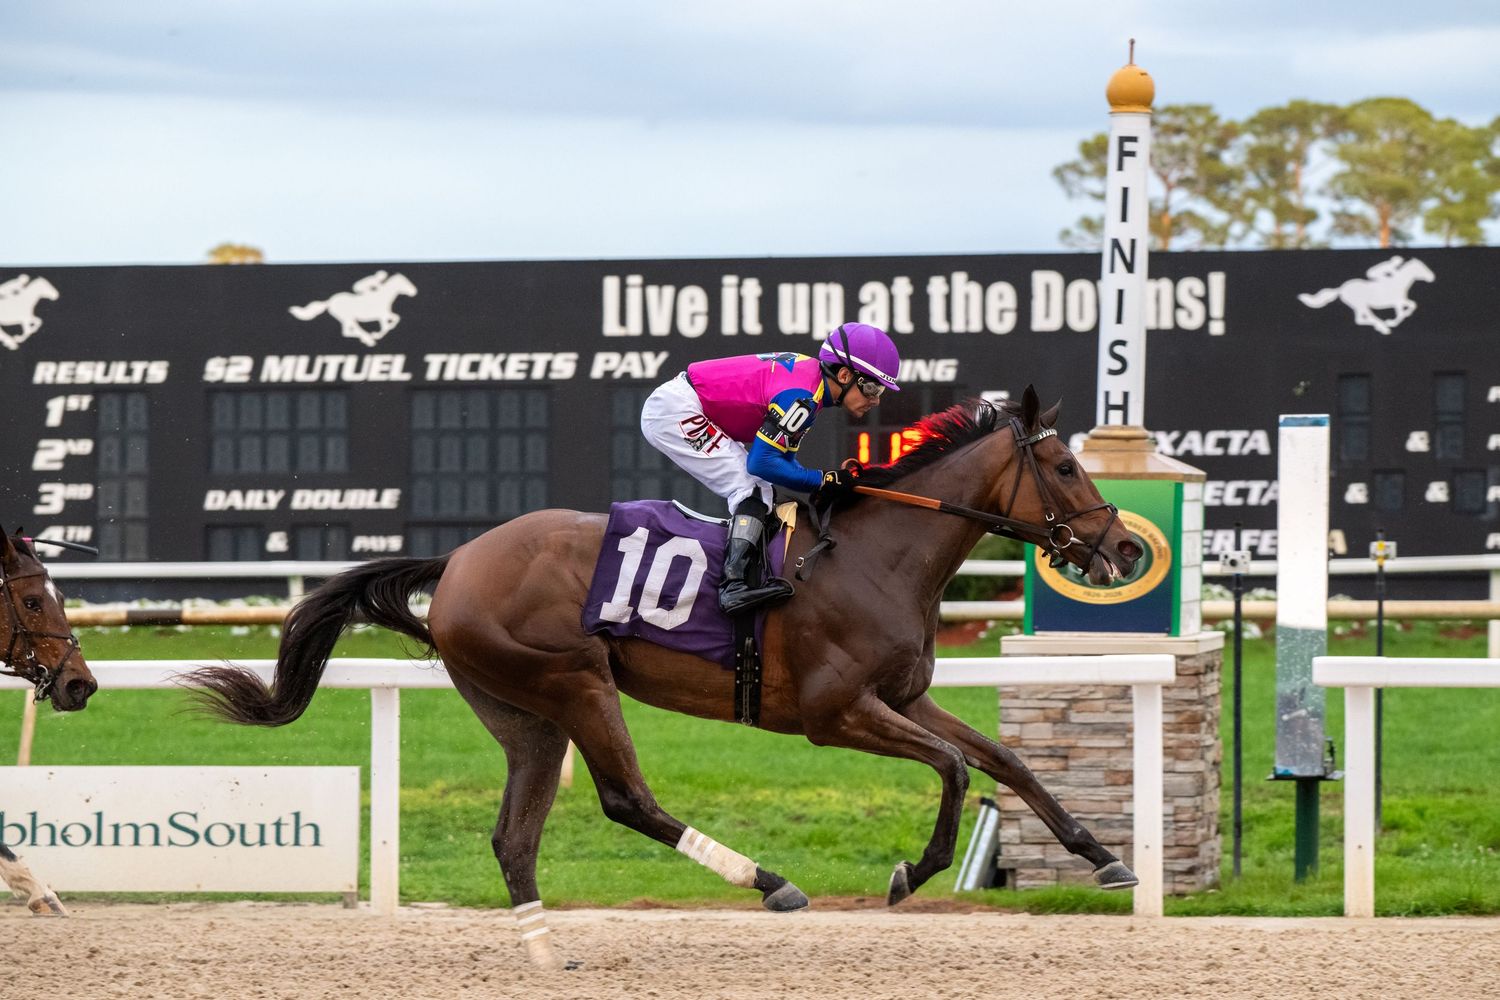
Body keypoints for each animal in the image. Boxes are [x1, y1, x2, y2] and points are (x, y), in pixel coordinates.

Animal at [186, 387, 1144, 970]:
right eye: (1065, 466)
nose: (1125, 548)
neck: (878, 553)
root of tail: (457, 562)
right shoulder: (834, 712)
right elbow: (950, 767)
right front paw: (915, 871)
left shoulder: (905, 696)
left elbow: (1004, 760)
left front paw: (1104, 858)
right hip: (575, 681)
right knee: (625, 800)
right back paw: (769, 882)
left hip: (522, 712)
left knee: (514, 836)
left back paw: (545, 952)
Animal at [288, 273, 418, 347]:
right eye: (404, 282)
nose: (414, 291)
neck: (382, 296)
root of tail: (329, 302)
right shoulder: (382, 315)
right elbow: (389, 323)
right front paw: (376, 335)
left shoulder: (384, 314)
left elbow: (395, 319)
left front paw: (378, 334)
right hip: (347, 318)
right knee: (348, 331)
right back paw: (368, 339)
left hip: (347, 319)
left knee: (349, 330)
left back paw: (368, 338)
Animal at [1297, 256, 1435, 335]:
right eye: (1422, 267)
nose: (1432, 277)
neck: (1398, 281)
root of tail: (1341, 289)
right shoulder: (1397, 301)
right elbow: (1404, 309)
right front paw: (1392, 322)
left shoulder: (1400, 300)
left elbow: (1411, 306)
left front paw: (1396, 320)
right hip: (1360, 304)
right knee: (1363, 318)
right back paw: (1383, 327)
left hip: (1359, 306)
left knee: (1360, 319)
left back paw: (1382, 326)